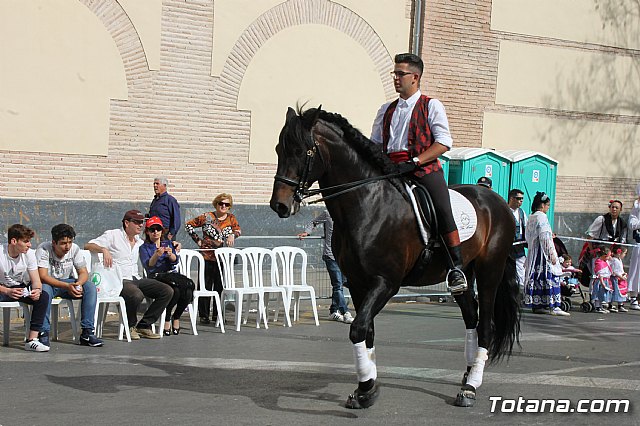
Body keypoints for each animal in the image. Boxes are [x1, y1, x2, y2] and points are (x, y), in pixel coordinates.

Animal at [268, 108, 520, 408]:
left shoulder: (386, 283)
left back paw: (471, 387)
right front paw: (366, 387)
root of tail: (496, 200)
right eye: (278, 149)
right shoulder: (358, 283)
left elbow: (358, 329)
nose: (279, 205)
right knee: (471, 318)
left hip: (489, 271)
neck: (368, 203)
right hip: (463, 275)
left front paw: (366, 387)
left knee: (485, 327)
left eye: (301, 150)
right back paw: (468, 373)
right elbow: (367, 332)